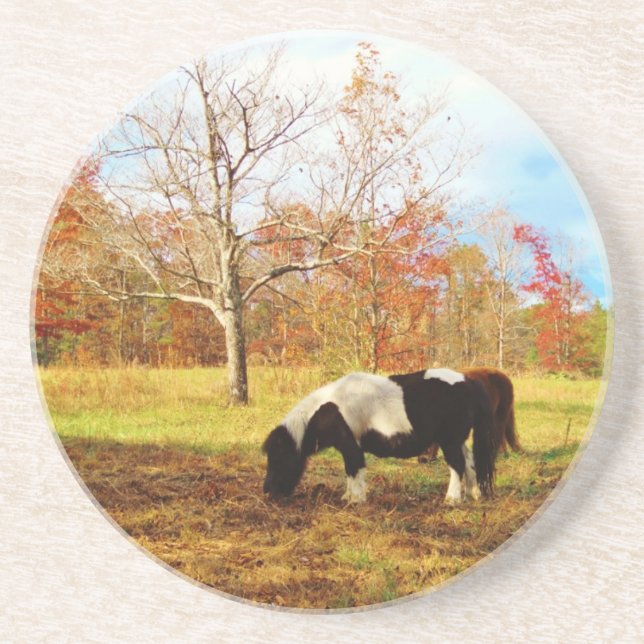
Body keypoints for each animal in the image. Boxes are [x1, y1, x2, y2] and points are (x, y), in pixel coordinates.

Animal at [262, 368, 498, 504]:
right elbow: (350, 472)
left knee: (457, 465)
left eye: (279, 457)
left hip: (449, 441)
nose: (268, 491)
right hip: (457, 440)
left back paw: (452, 499)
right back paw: (472, 494)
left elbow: (354, 470)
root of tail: (468, 381)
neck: (330, 408)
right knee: (469, 462)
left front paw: (355, 500)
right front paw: (349, 496)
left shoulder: (351, 446)